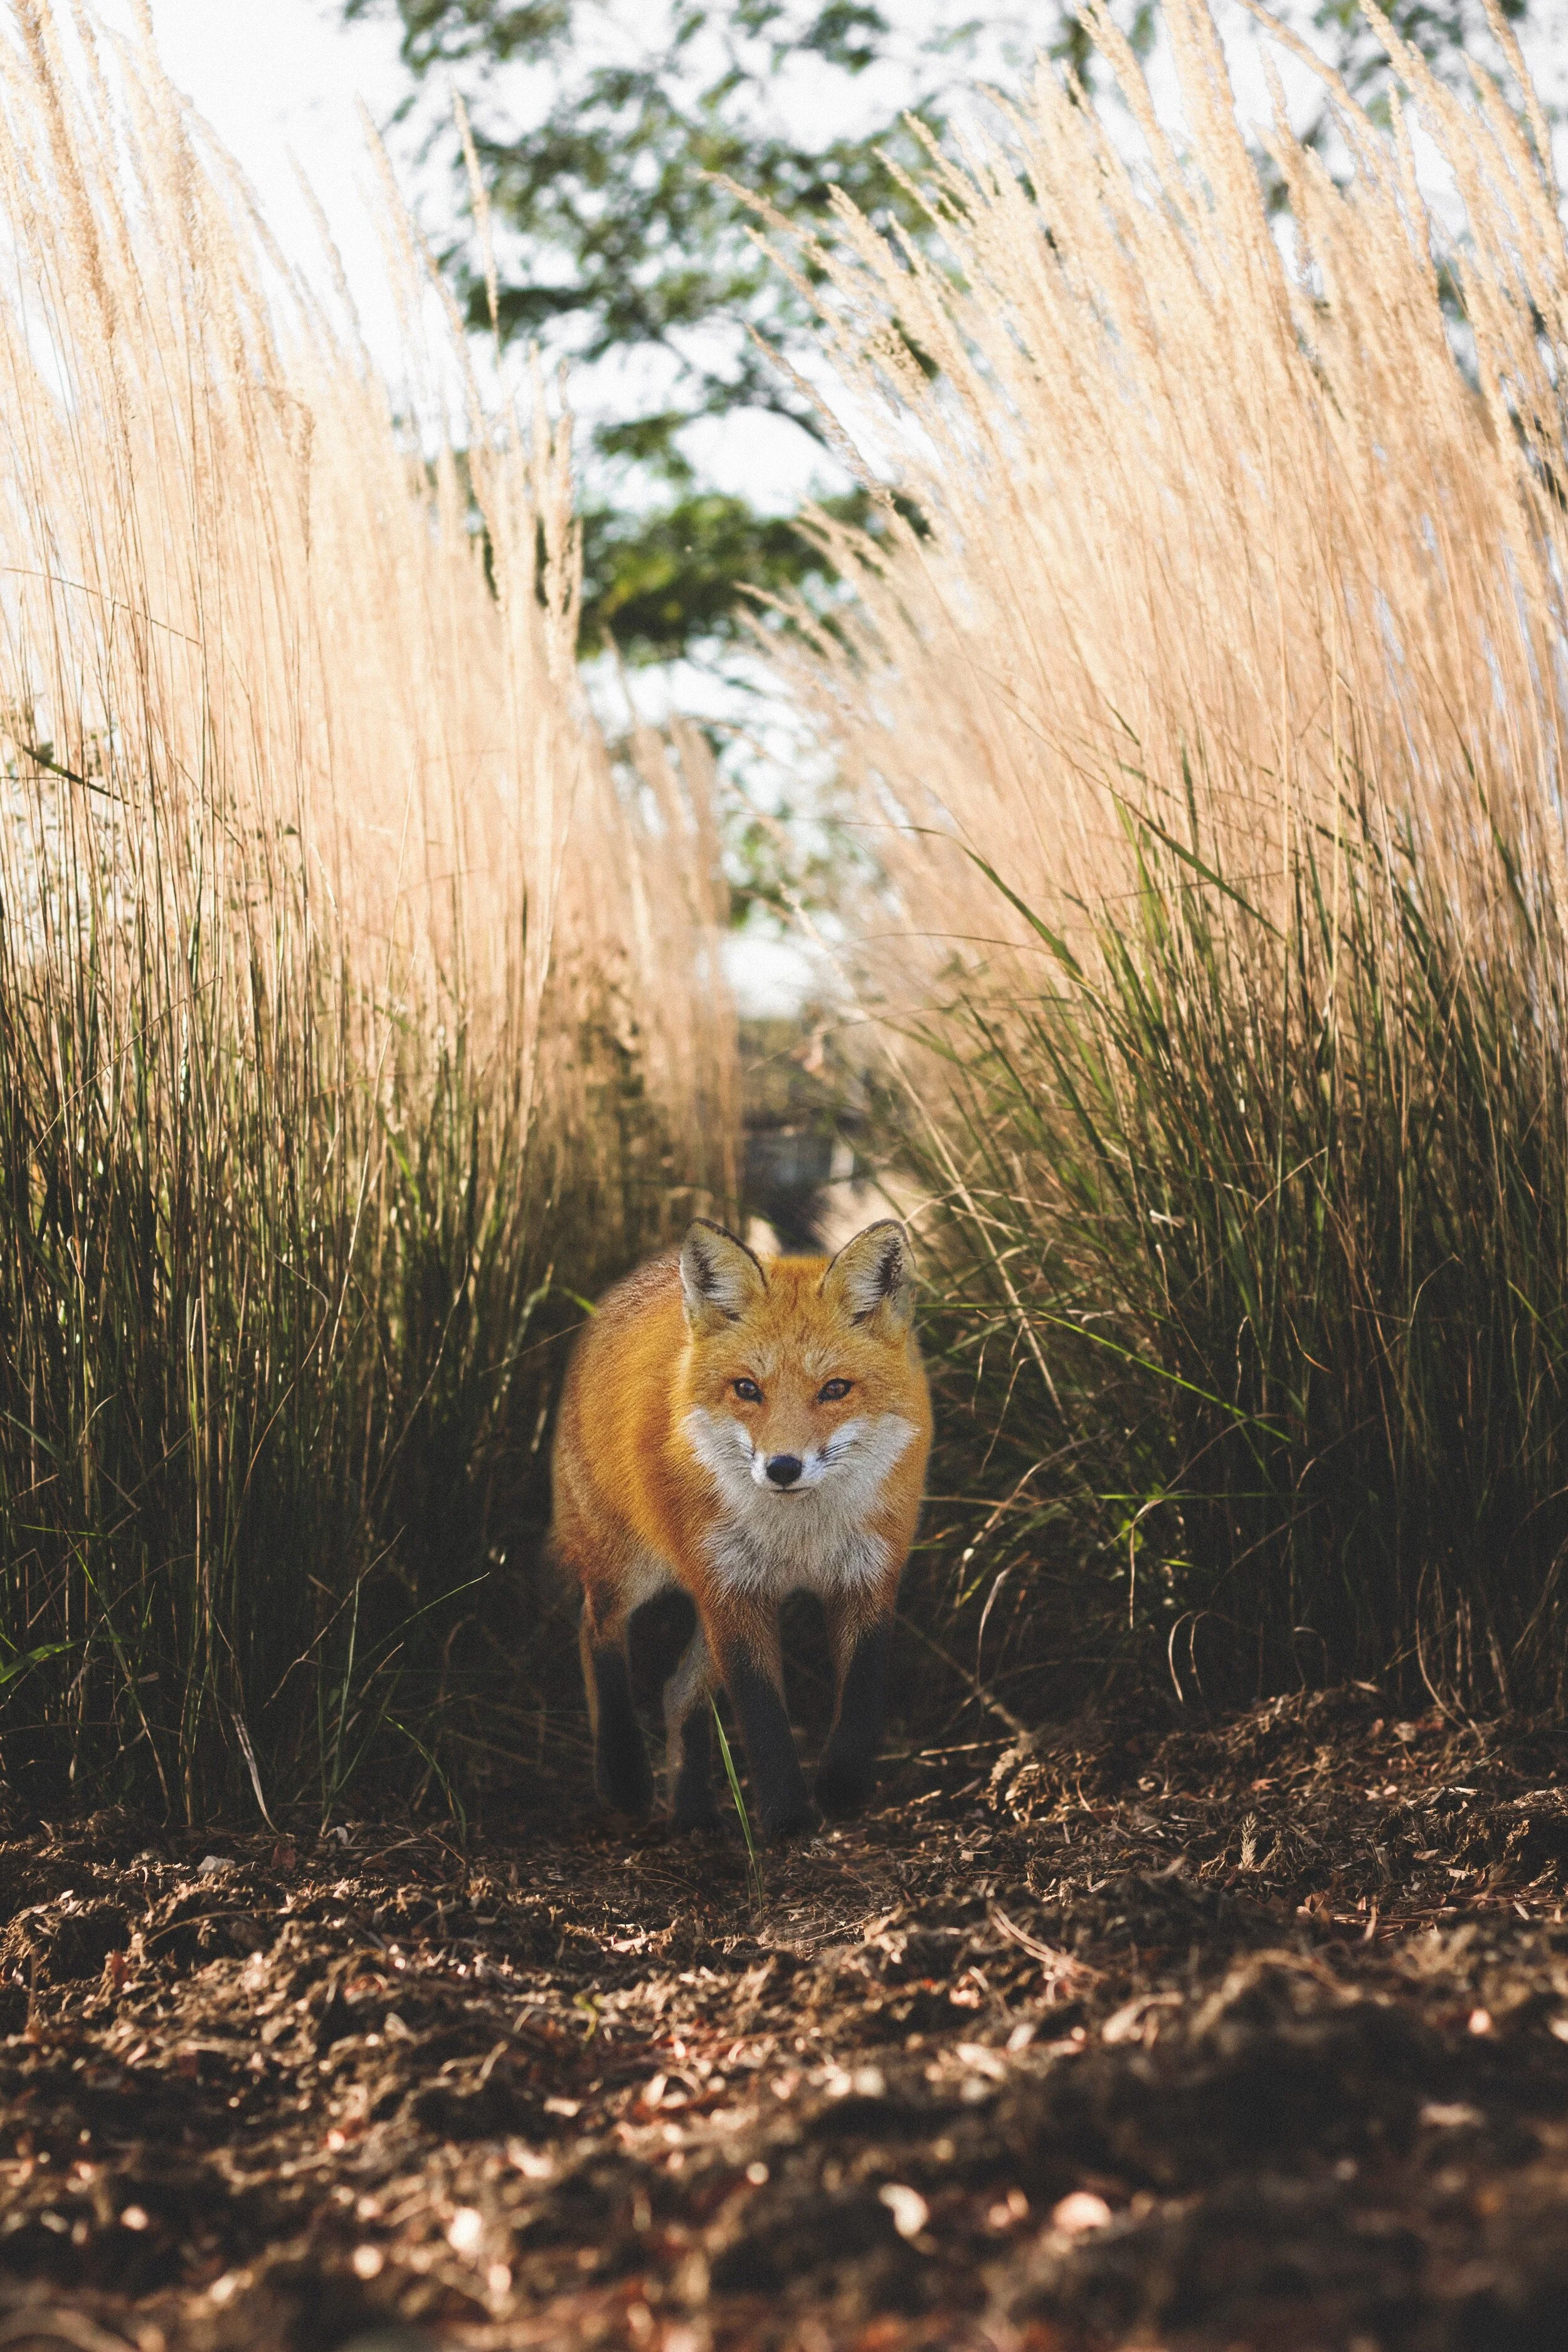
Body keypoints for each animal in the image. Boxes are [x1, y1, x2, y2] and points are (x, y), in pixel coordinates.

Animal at [550, 1217, 932, 1841]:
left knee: (676, 1690)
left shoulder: (867, 1577)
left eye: (835, 1389)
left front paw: (841, 1788)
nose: (782, 1468)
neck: (799, 1537)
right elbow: (761, 1712)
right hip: (631, 1569)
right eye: (747, 1389)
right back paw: (624, 1778)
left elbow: (862, 1693)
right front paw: (788, 1818)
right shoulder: (730, 1590)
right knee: (595, 1630)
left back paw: (691, 1811)